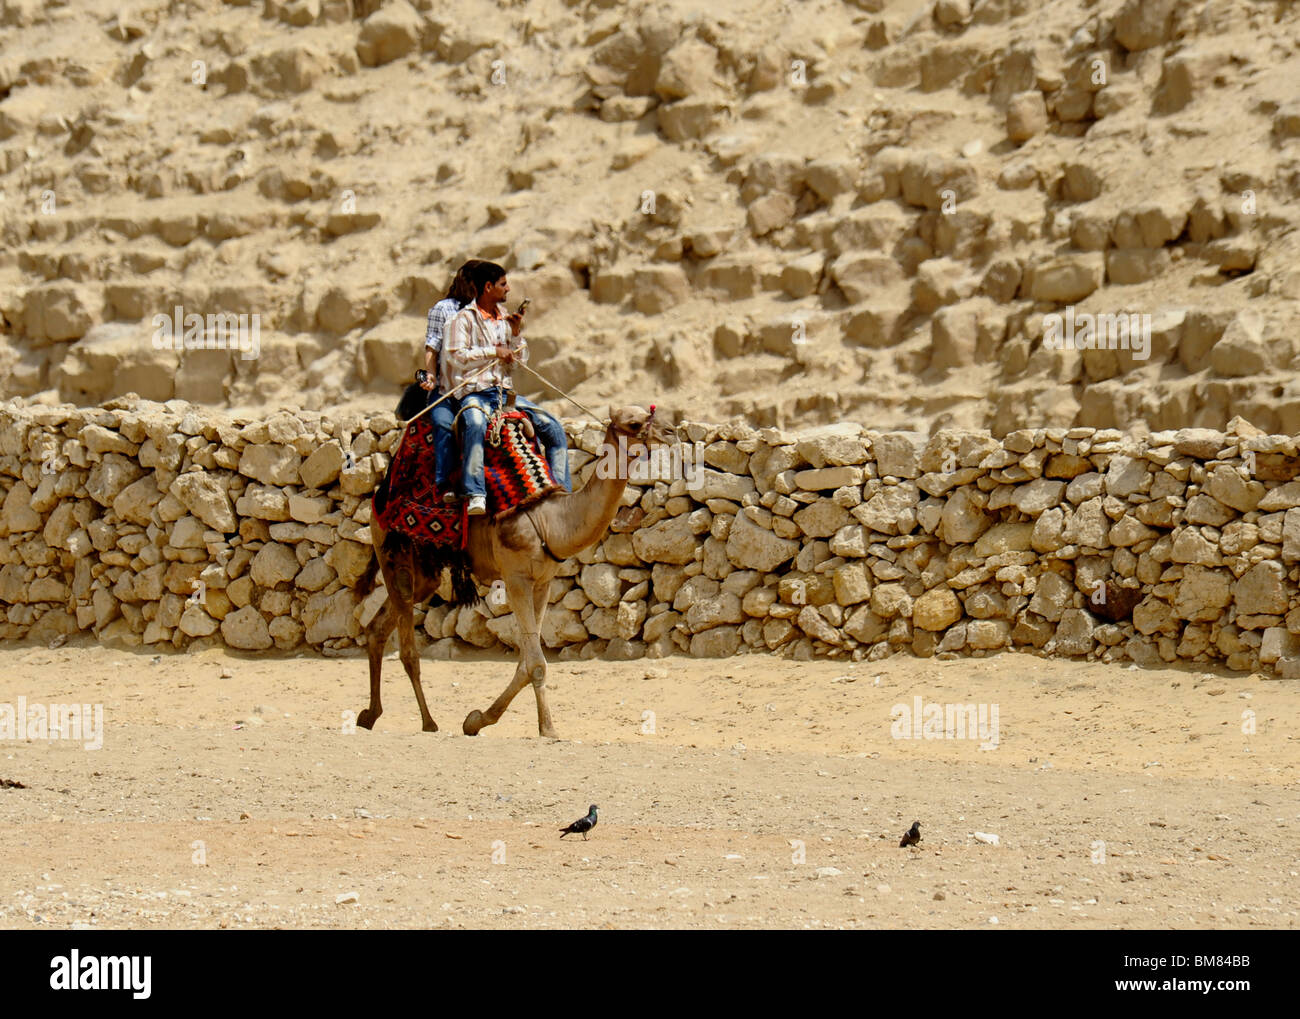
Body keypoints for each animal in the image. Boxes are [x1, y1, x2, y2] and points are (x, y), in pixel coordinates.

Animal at [352, 405, 677, 738]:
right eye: (634, 422)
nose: (671, 431)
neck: (551, 521)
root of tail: (378, 495)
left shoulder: (543, 582)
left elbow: (525, 662)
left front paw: (476, 719)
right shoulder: (515, 578)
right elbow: (536, 663)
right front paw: (548, 729)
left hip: (425, 574)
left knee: (377, 628)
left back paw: (369, 715)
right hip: (394, 553)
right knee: (408, 649)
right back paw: (427, 722)